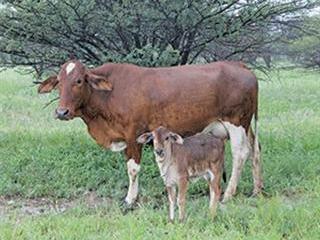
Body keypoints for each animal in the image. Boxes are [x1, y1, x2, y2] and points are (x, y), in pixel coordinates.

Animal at [37, 59, 262, 205]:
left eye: (79, 80)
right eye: (59, 82)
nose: (62, 112)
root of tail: (239, 65)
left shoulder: (133, 135)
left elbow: (133, 169)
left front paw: (130, 199)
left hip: (236, 122)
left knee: (241, 153)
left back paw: (228, 194)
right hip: (247, 125)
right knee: (255, 149)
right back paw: (257, 189)